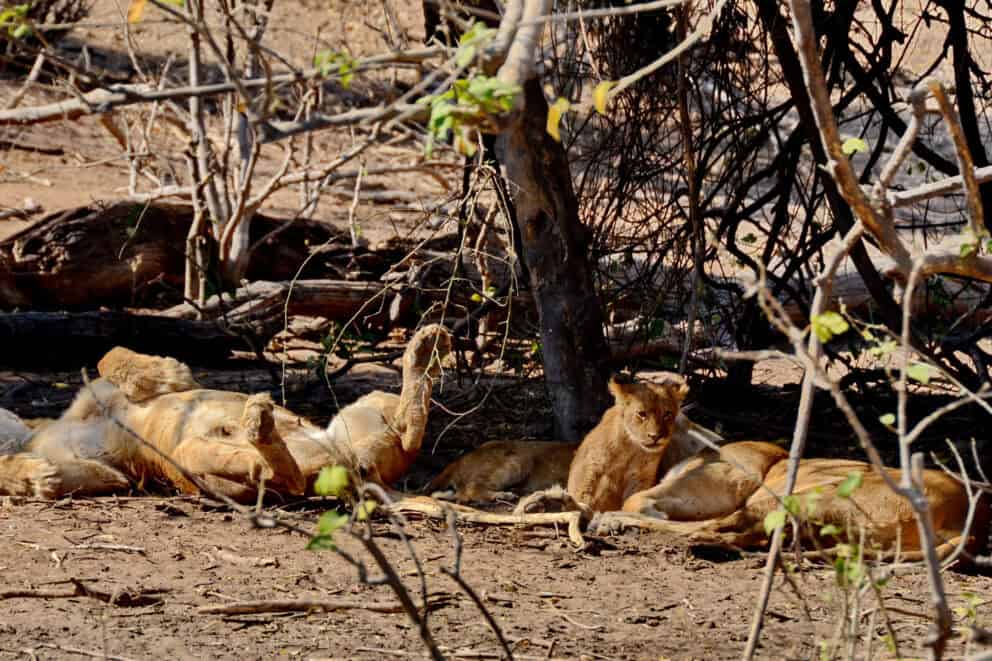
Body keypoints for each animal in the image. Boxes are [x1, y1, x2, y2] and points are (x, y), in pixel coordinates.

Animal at [0, 324, 451, 501]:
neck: (34, 434)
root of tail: (352, 470)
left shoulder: (103, 392)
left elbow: (111, 355)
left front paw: (161, 374)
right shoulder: (112, 475)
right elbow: (53, 477)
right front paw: (36, 477)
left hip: (369, 405)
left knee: (409, 429)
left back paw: (424, 348)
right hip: (192, 462)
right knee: (282, 476)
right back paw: (260, 425)